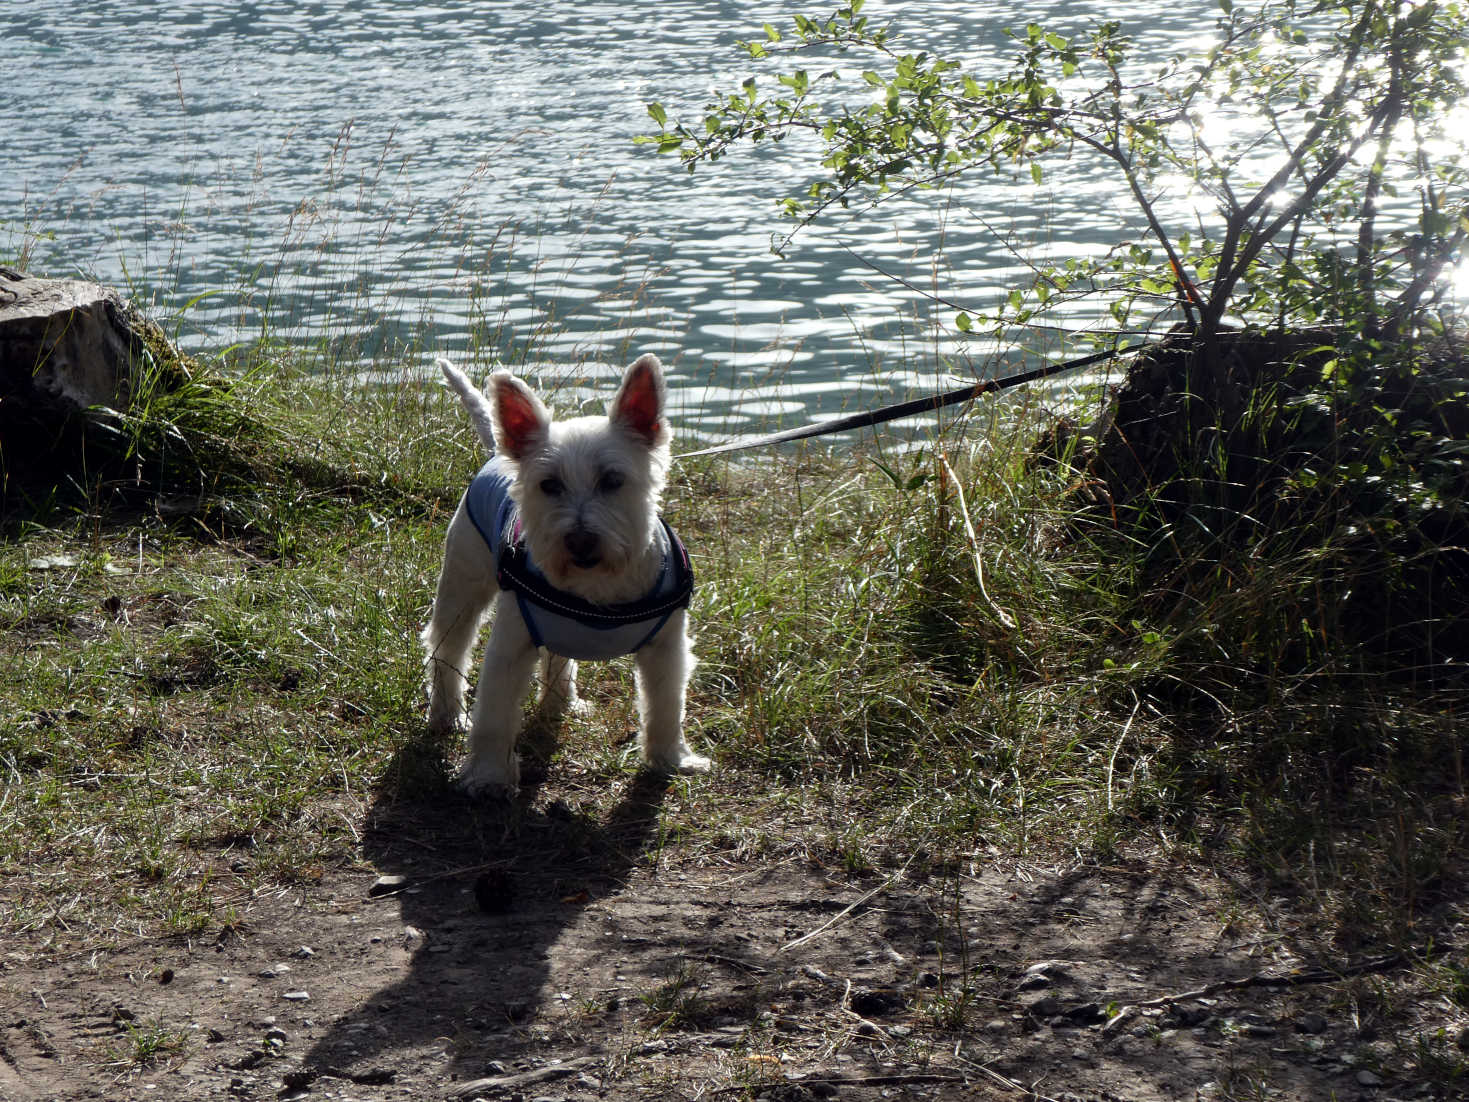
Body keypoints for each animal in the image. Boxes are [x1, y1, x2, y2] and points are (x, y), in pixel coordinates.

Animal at [423, 354, 708, 793]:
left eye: (612, 479)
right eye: (548, 485)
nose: (579, 542)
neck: (597, 589)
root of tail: (495, 454)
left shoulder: (667, 648)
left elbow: (665, 706)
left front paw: (672, 760)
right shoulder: (509, 646)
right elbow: (494, 715)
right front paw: (488, 777)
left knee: (558, 656)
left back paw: (563, 703)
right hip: (461, 587)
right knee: (447, 649)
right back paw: (447, 714)